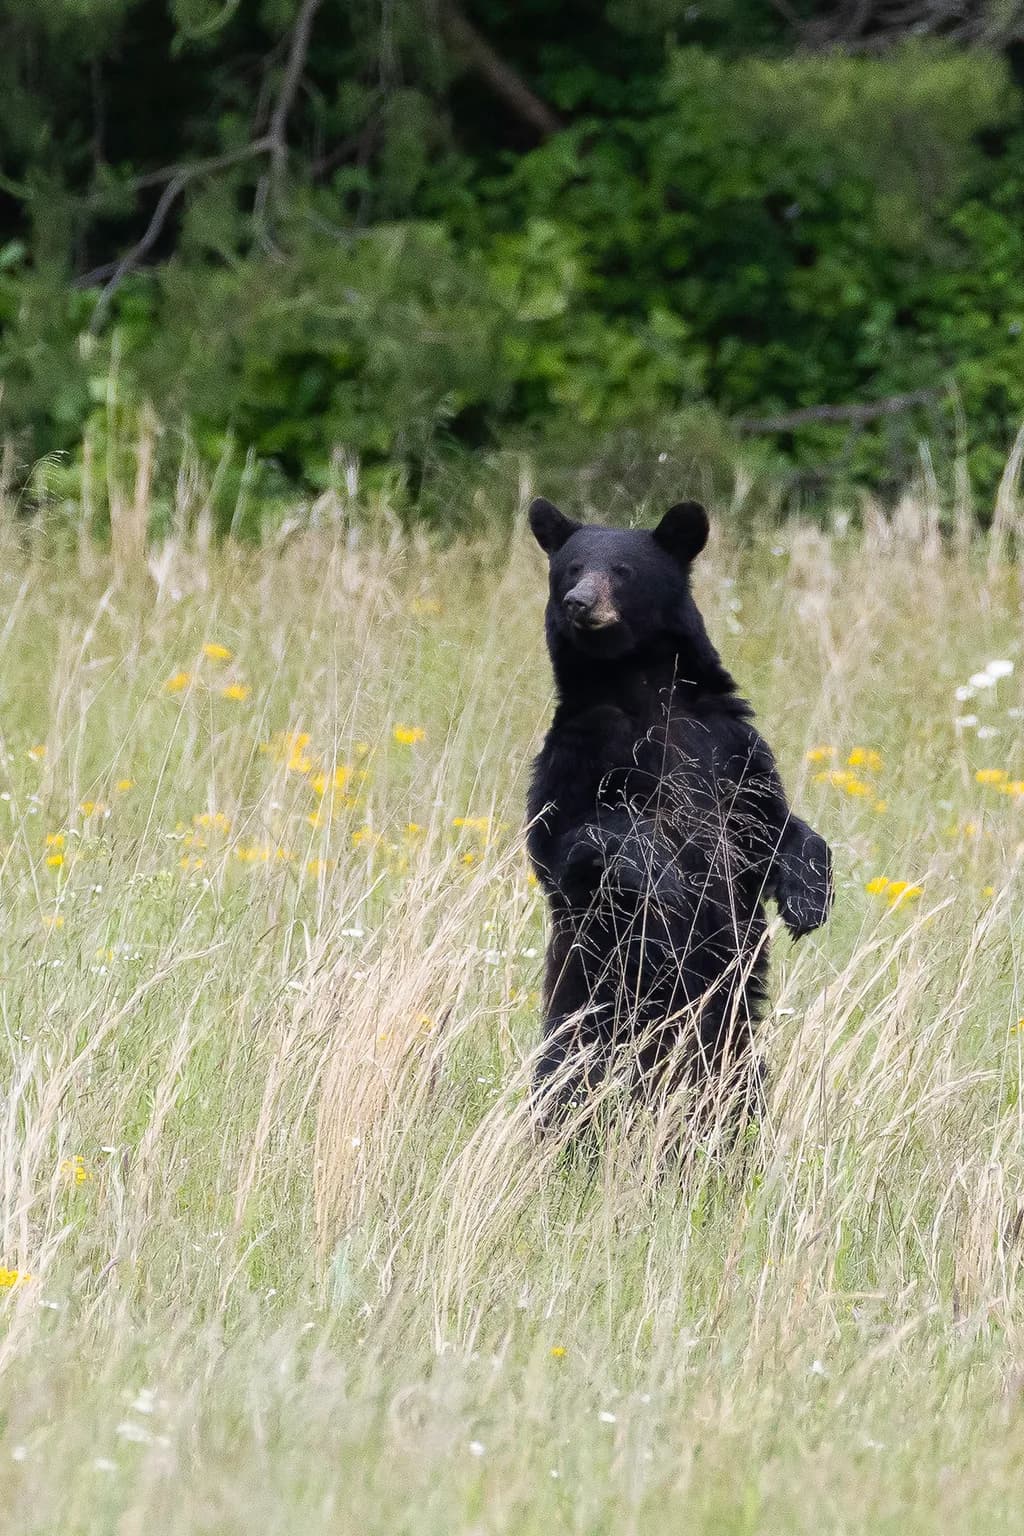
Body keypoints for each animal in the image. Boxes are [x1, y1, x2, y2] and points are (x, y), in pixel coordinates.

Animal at [526, 496, 832, 1139]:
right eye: (571, 568)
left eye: (622, 570)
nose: (578, 602)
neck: (643, 689)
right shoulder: (577, 752)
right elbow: (568, 839)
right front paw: (662, 876)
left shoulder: (729, 747)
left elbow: (774, 827)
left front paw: (808, 897)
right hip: (589, 1020)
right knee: (570, 1085)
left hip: (732, 1042)